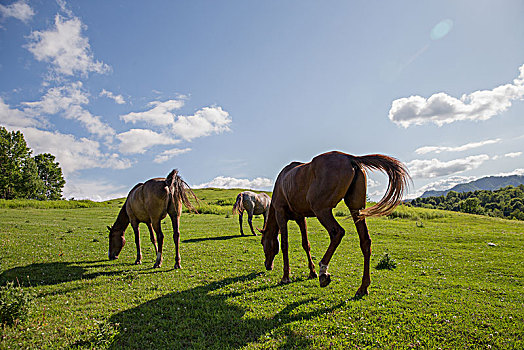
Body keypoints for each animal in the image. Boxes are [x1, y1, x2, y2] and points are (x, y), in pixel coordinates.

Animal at [260, 150, 412, 296]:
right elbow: (305, 244)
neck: (282, 181)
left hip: (321, 210)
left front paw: (286, 276)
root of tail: (350, 158)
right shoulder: (301, 218)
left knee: (337, 232)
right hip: (356, 209)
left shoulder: (281, 214)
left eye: (262, 243)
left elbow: (285, 244)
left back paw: (323, 272)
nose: (267, 265)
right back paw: (363, 286)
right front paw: (312, 272)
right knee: (365, 242)